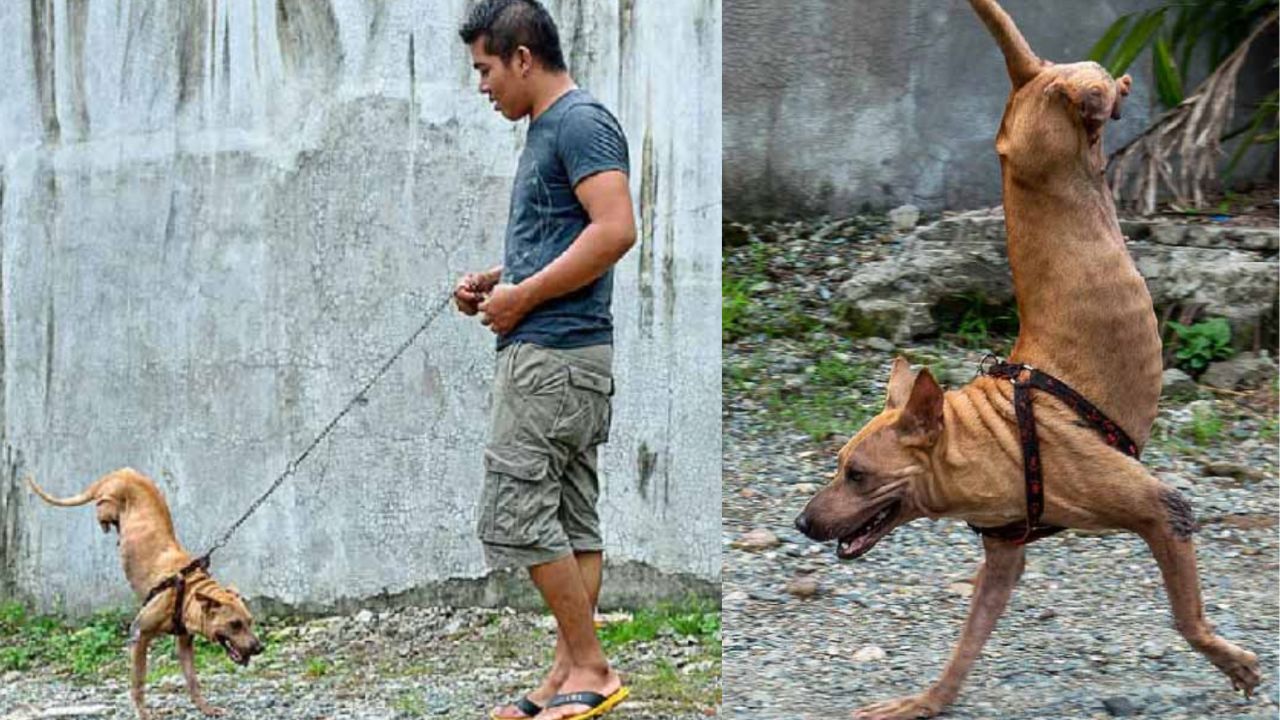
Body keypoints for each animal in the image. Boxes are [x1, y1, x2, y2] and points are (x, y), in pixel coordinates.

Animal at [27, 468, 261, 712]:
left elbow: (192, 679)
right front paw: (143, 712)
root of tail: (120, 473)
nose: (259, 648)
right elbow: (138, 682)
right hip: (109, 501)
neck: (188, 590)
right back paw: (107, 524)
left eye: (249, 621)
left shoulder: (185, 642)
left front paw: (205, 708)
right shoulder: (139, 634)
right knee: (101, 510)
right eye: (234, 624)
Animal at [788, 1, 1259, 717]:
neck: (995, 441)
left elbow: (1187, 617)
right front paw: (924, 702)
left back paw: (1113, 93)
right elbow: (964, 647)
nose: (802, 522)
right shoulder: (1004, 558)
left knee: (1090, 87)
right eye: (838, 467)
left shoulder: (1162, 507)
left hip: (1060, 112)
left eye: (858, 475)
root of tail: (1030, 77)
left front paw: (1230, 661)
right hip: (1036, 136)